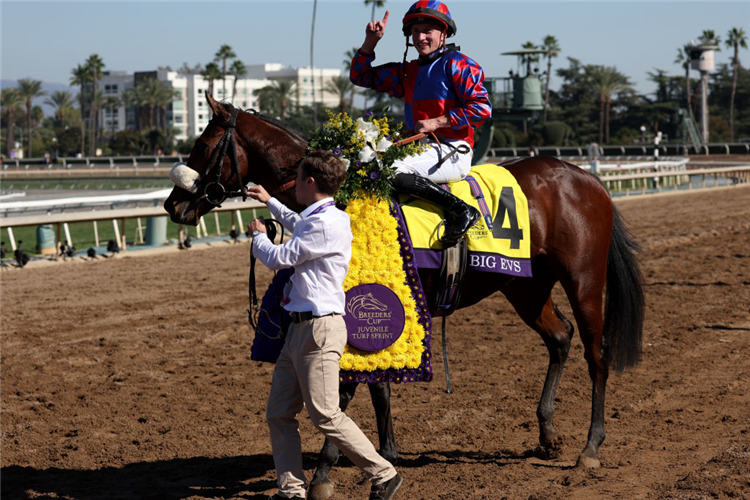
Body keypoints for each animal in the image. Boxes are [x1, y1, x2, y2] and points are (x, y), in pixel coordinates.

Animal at [164, 93, 648, 496]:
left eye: (202, 147)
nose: (172, 206)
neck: (343, 198)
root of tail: (588, 179)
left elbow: (344, 393)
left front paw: (325, 473)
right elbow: (376, 385)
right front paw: (384, 455)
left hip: (583, 279)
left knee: (596, 353)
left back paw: (590, 448)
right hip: (524, 286)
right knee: (560, 337)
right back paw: (547, 434)